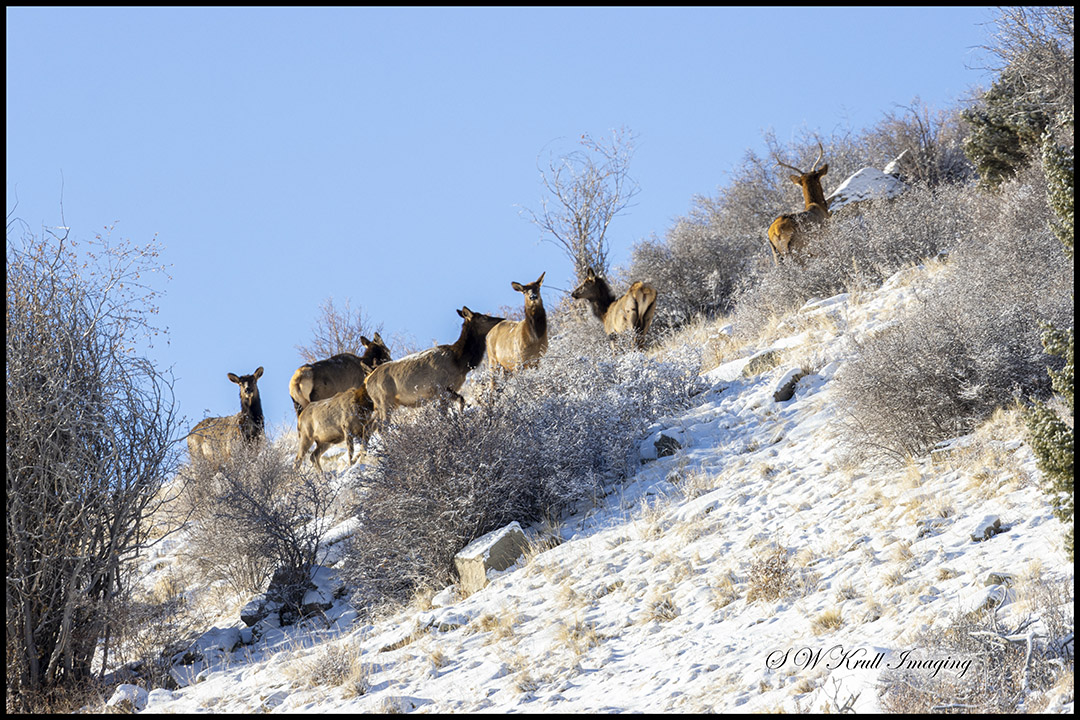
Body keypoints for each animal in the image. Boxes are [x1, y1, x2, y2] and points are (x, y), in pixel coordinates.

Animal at [364, 306, 505, 425]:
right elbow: (446, 412)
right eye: (483, 317)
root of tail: (367, 381)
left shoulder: (449, 389)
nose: (501, 319)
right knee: (382, 426)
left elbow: (461, 400)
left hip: (381, 404)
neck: (460, 363)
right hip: (384, 400)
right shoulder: (440, 387)